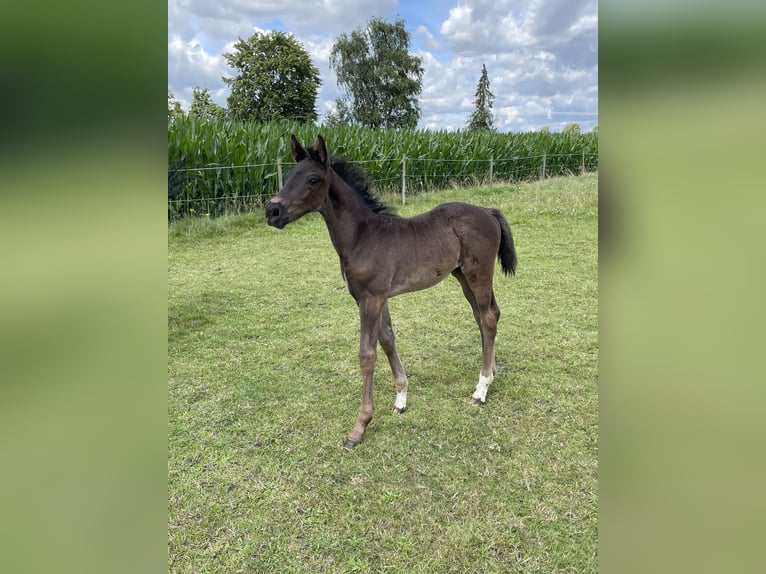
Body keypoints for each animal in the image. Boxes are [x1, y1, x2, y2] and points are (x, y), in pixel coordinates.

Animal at [268, 135, 520, 450]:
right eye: (289, 175)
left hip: (479, 274)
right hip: (463, 276)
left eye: (312, 179)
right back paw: (491, 375)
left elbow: (367, 354)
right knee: (487, 315)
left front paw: (359, 427)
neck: (362, 237)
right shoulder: (376, 297)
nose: (272, 211)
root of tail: (487, 211)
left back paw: (481, 389)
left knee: (487, 318)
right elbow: (387, 340)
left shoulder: (371, 299)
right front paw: (401, 399)